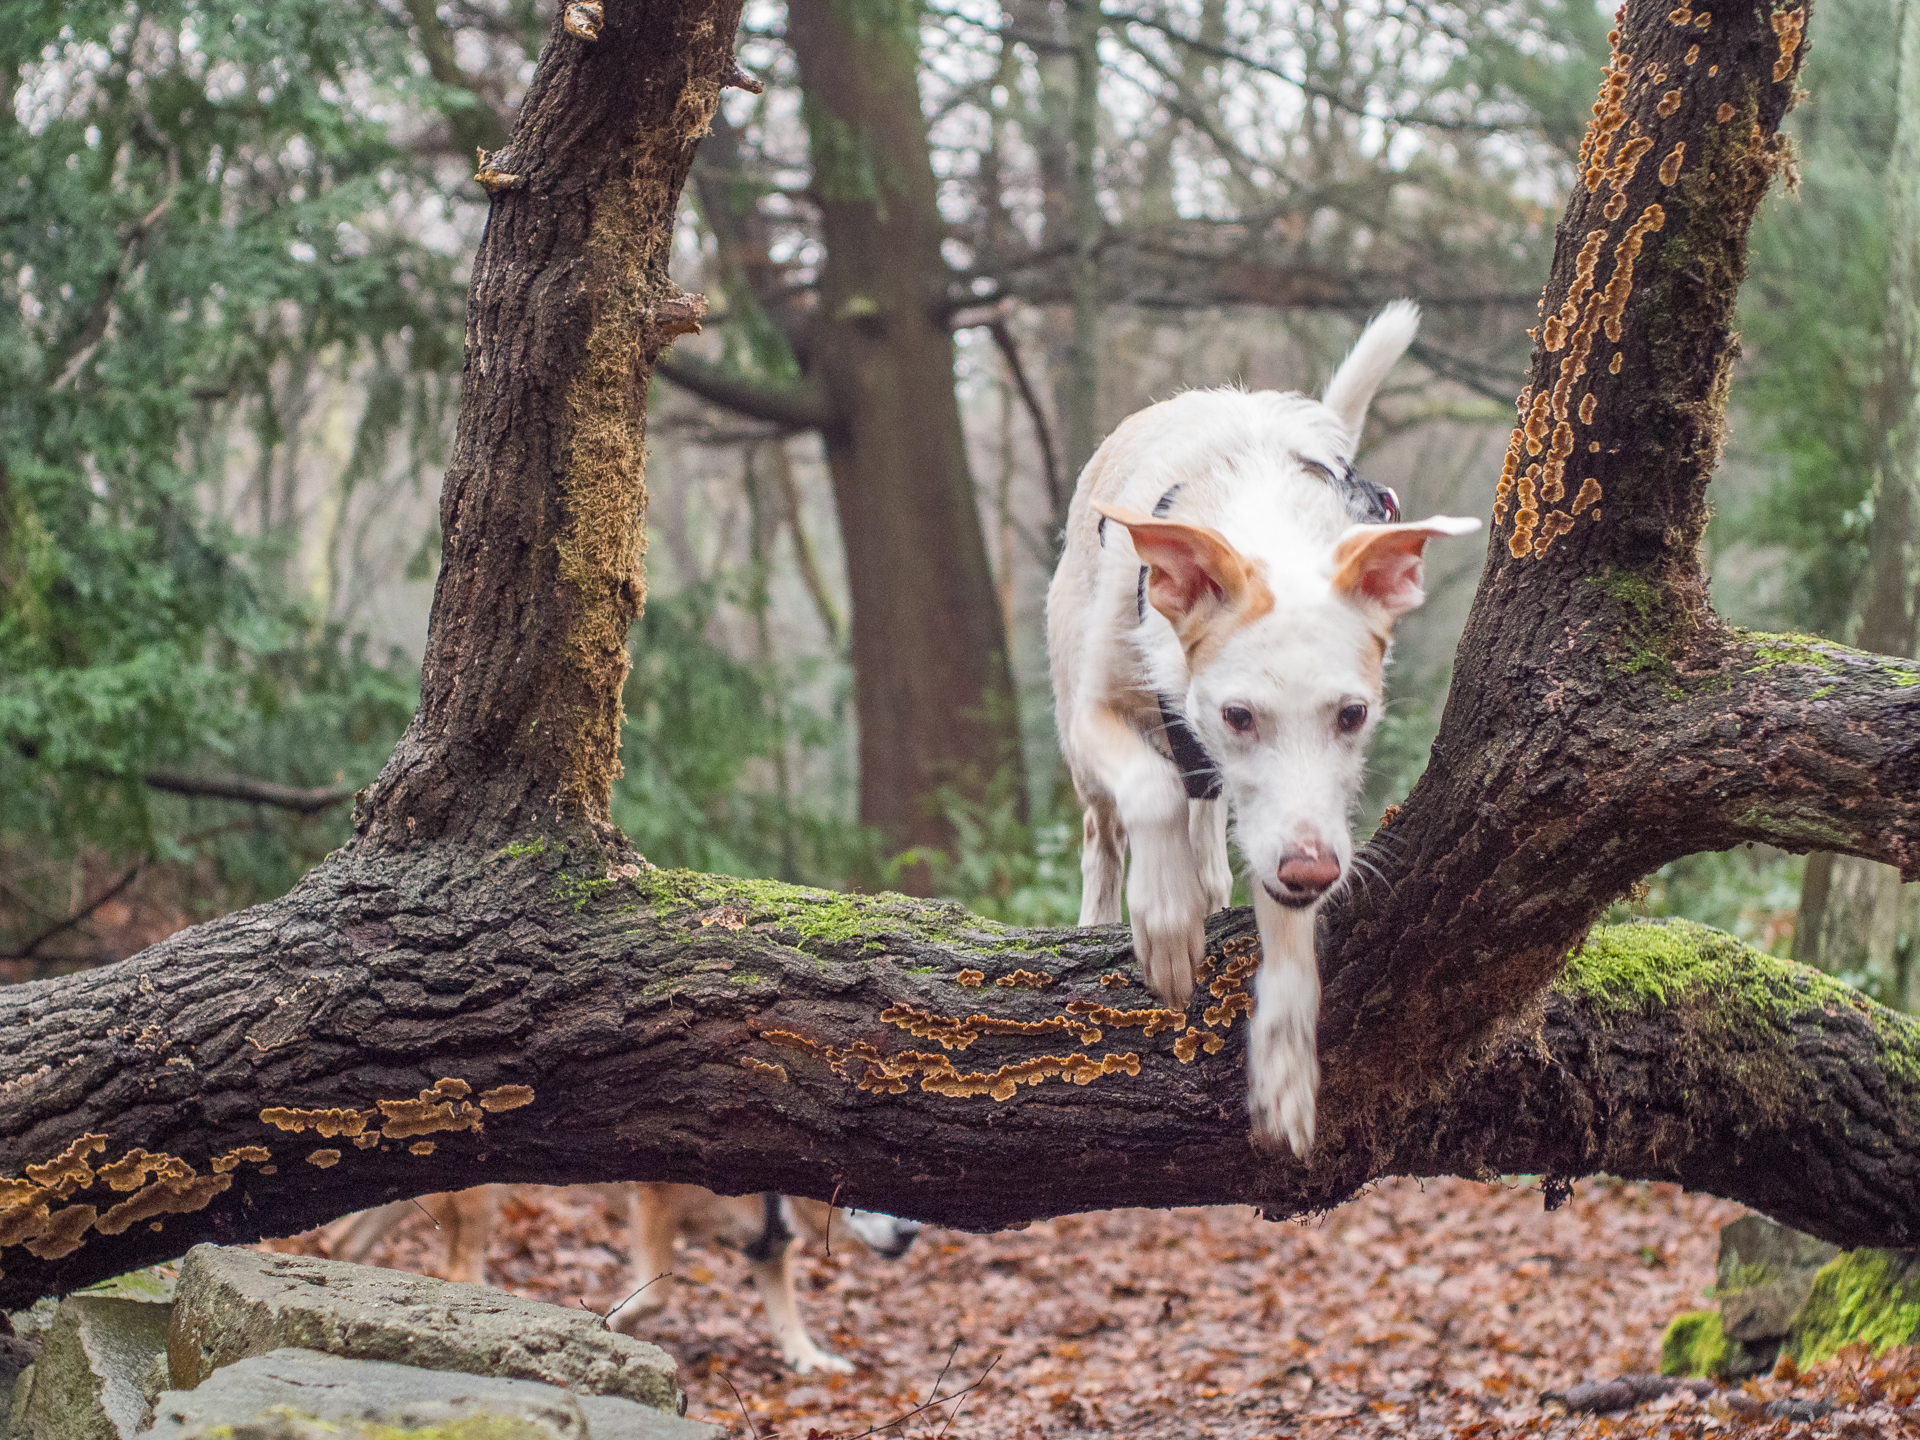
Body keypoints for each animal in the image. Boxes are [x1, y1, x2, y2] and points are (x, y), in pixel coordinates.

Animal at [1052, 305, 1466, 1159]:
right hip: (1073, 715)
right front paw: (1165, 920)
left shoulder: (1300, 824)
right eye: (1239, 715)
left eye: (1353, 715)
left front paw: (1284, 1063)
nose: (1313, 871)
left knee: (1204, 805)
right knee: (1105, 829)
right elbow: (1149, 792)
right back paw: (1111, 906)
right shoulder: (1096, 711)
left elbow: (1286, 926)